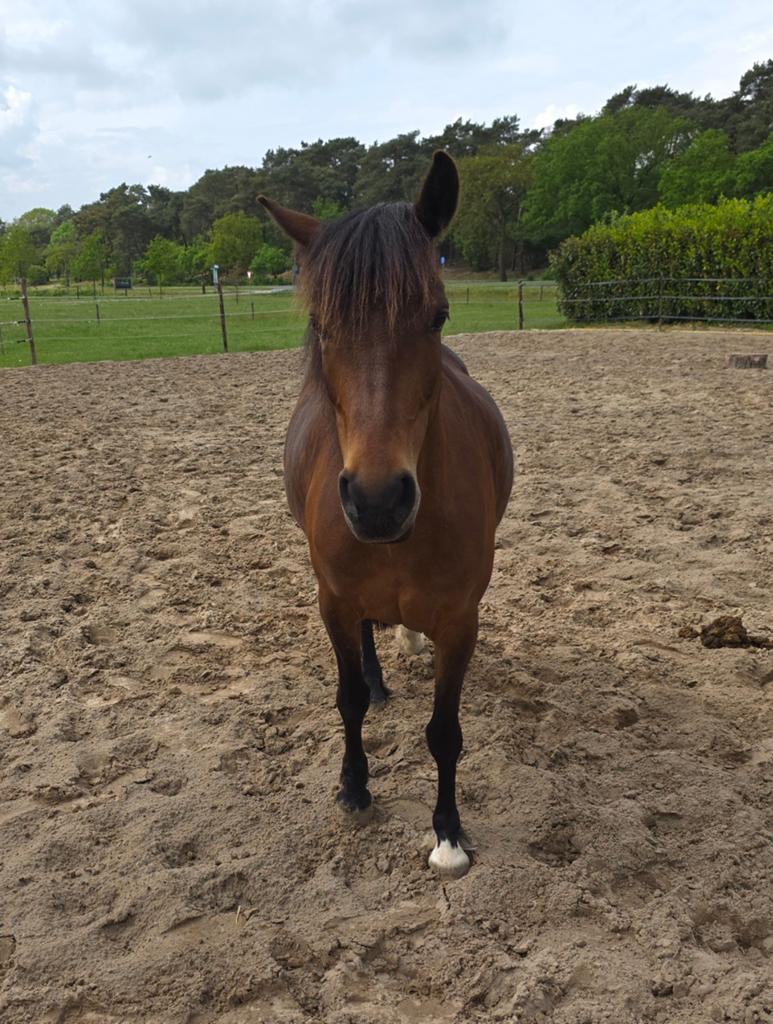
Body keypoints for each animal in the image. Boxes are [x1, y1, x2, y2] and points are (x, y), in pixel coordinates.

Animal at [258, 151, 514, 878]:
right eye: (322, 324)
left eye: (437, 315)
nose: (377, 501)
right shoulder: (333, 601)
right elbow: (344, 698)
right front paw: (354, 788)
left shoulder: (460, 619)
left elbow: (445, 731)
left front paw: (448, 832)